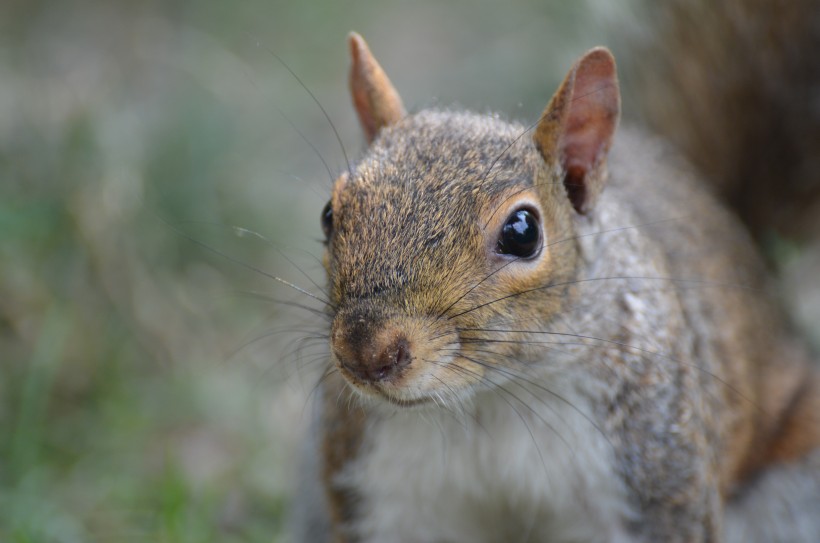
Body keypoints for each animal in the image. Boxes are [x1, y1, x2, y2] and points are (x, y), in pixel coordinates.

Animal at [288, 5, 820, 543]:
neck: (488, 401)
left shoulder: (650, 474)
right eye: (329, 214)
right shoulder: (382, 493)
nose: (365, 351)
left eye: (522, 232)